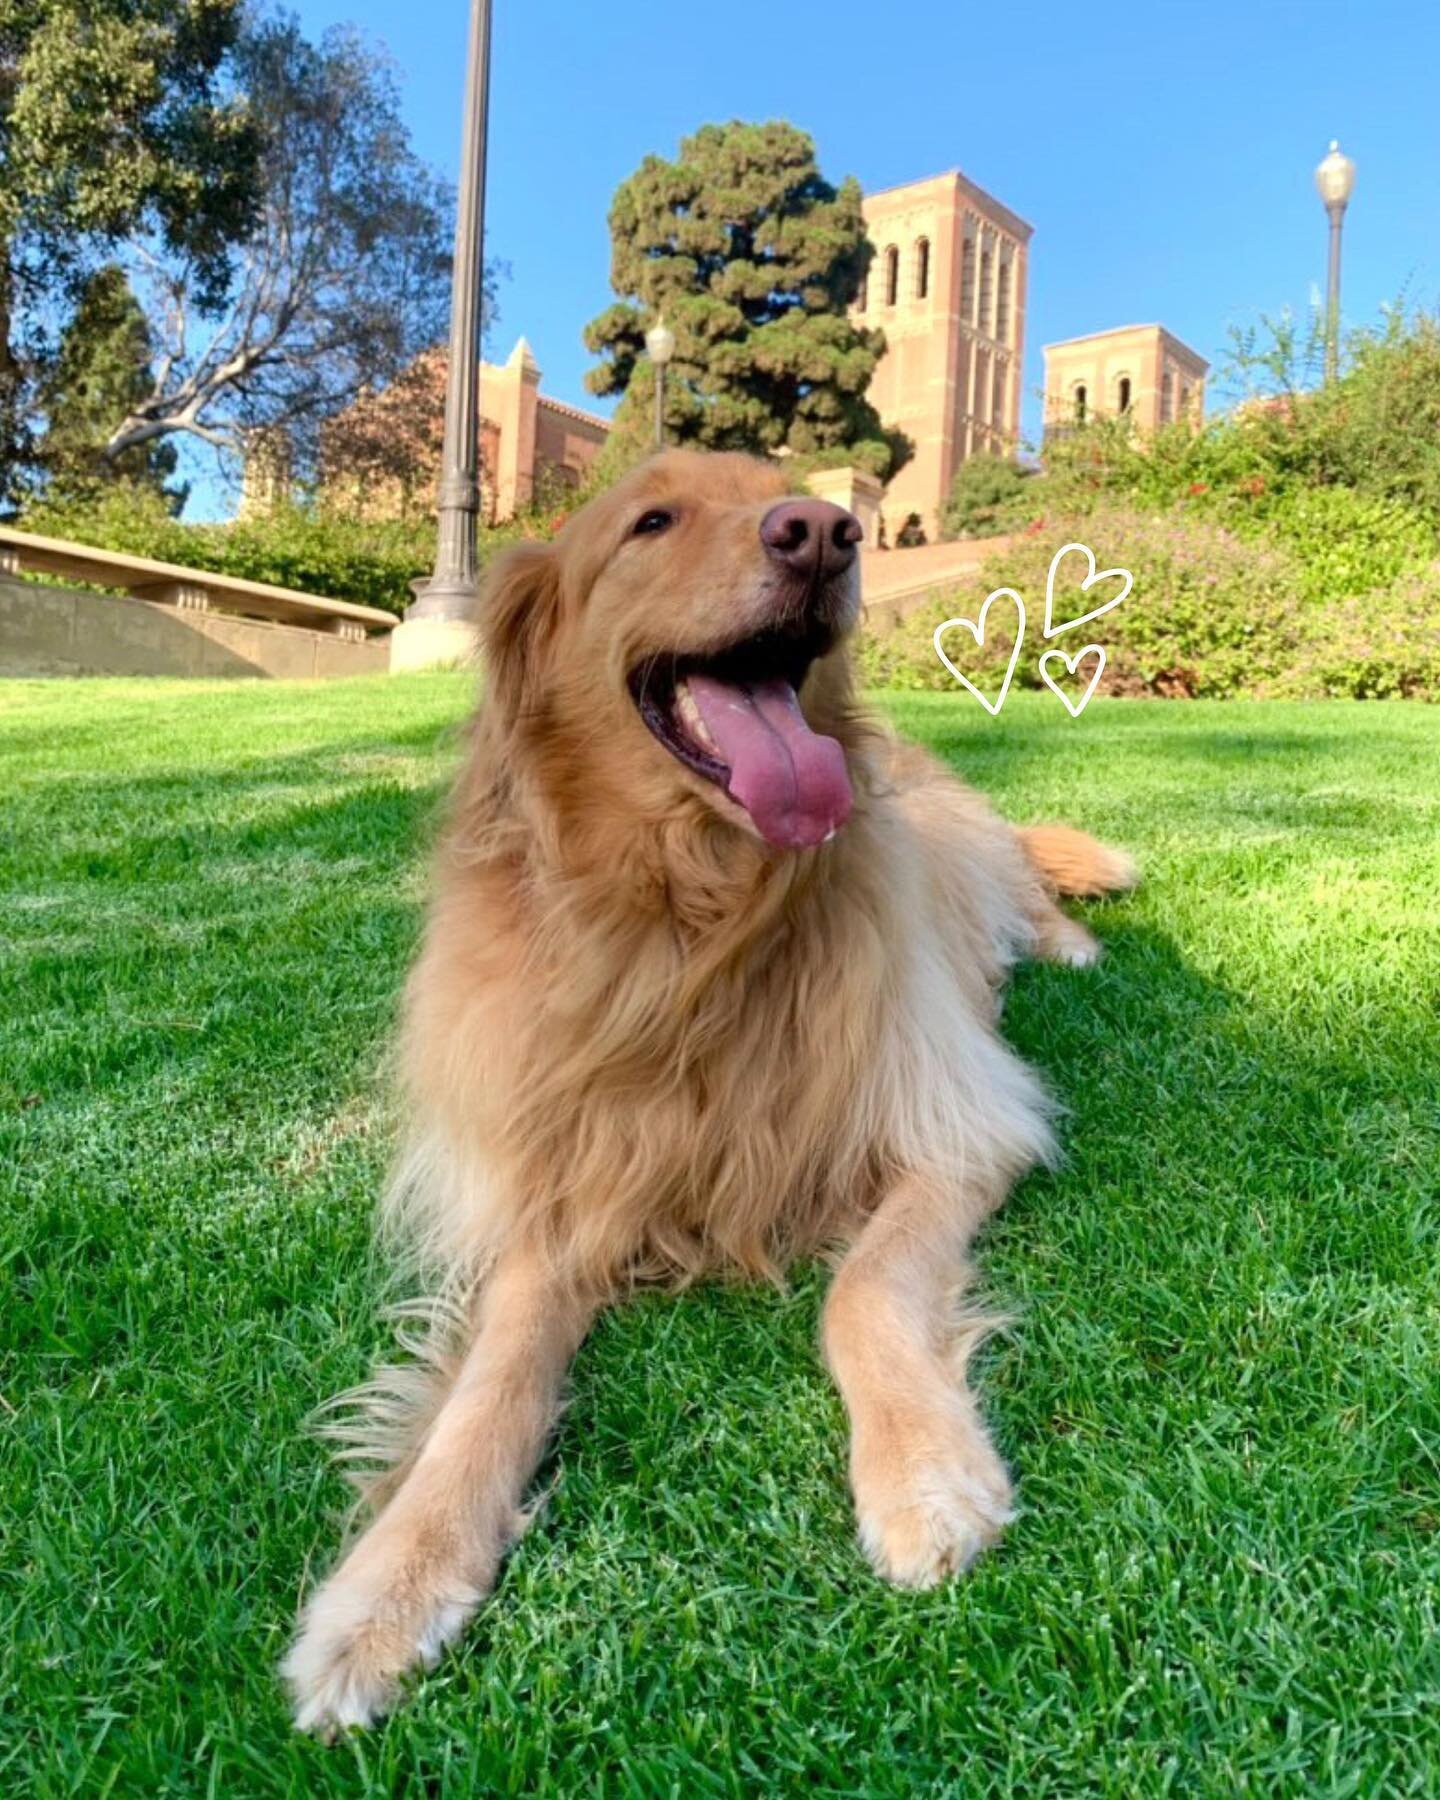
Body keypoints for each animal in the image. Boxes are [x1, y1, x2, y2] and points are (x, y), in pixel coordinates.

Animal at [280, 446, 1137, 1728]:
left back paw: (1069, 947)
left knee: (1028, 894)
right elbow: (489, 1386)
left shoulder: (957, 1123)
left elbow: (861, 1293)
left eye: (799, 500)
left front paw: (924, 1473)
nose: (826, 532)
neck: (690, 931)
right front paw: (388, 1588)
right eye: (651, 522)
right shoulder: (558, 1189)